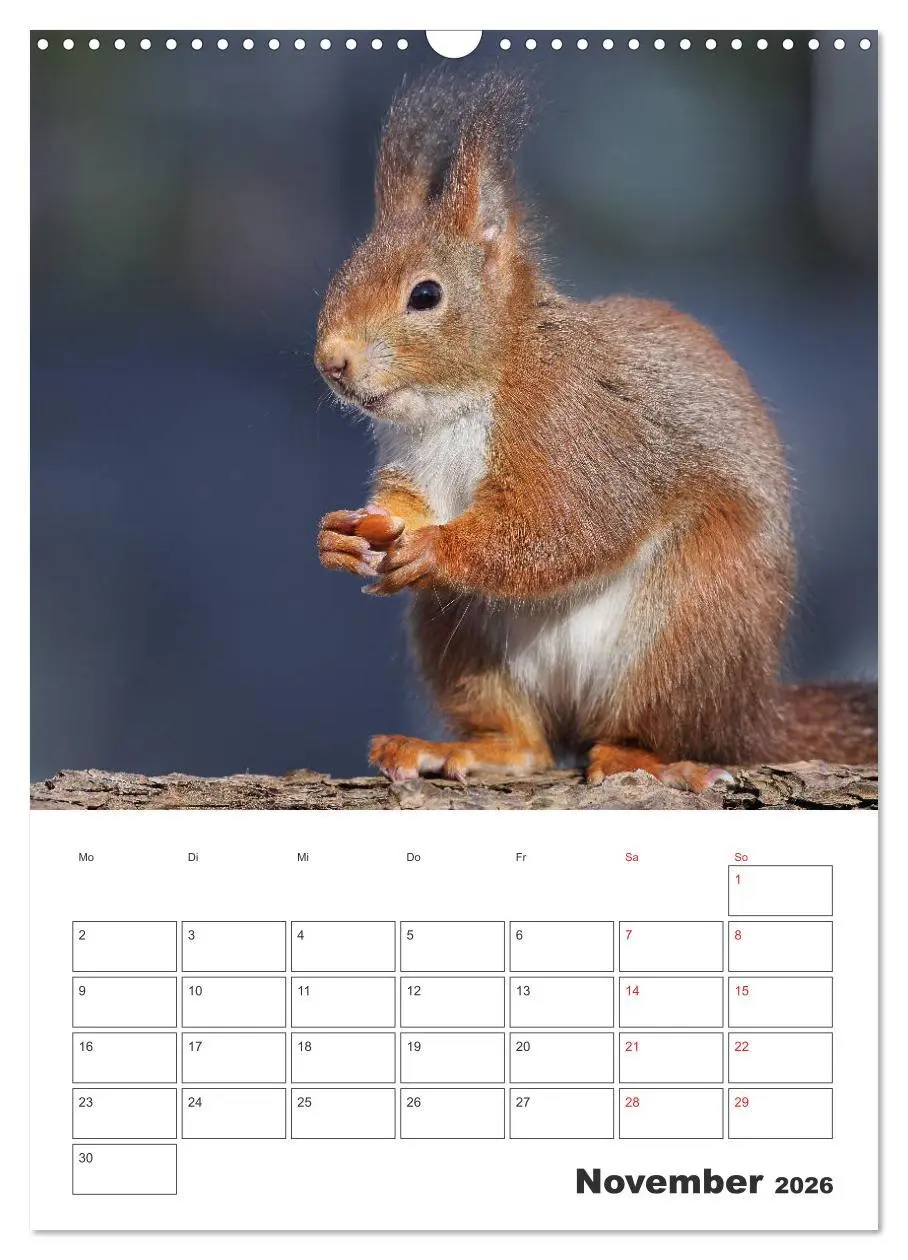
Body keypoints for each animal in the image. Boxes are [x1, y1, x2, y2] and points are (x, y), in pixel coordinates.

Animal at [314, 71, 877, 790]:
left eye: (426, 295)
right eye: (344, 271)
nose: (331, 361)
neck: (458, 402)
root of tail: (752, 712)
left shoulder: (576, 429)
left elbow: (566, 525)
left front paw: (437, 549)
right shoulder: (410, 461)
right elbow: (404, 506)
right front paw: (343, 537)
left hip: (696, 617)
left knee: (668, 727)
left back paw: (652, 759)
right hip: (457, 632)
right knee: (529, 741)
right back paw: (466, 748)